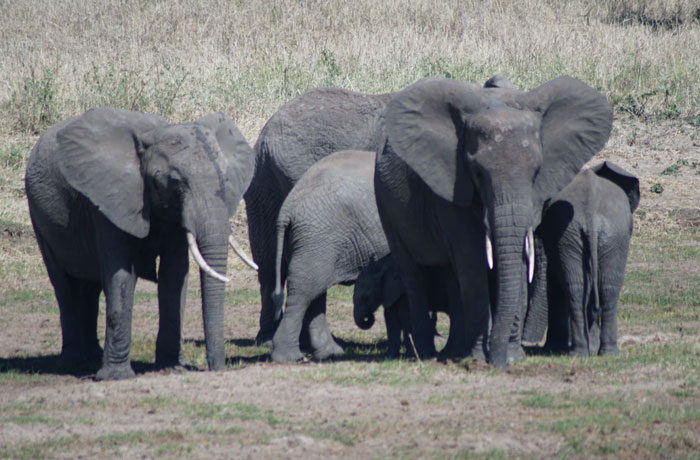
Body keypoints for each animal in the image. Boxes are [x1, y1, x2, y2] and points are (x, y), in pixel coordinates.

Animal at [28, 106, 258, 380]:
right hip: (39, 217)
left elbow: (174, 275)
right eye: (175, 181)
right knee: (64, 285)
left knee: (90, 287)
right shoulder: (109, 199)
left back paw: (91, 357)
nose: (217, 368)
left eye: (226, 180)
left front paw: (172, 368)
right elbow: (121, 275)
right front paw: (116, 377)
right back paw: (72, 363)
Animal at [270, 149, 392, 362]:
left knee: (315, 292)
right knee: (303, 292)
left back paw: (329, 353)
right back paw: (289, 357)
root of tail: (288, 205)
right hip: (318, 237)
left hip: (309, 241)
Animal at [372, 75, 612, 370]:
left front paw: (511, 356)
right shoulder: (453, 187)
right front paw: (478, 358)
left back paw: (453, 351)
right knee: (412, 272)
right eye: (477, 172)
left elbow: (518, 259)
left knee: (451, 274)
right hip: (385, 201)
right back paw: (430, 355)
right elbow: (472, 262)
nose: (498, 365)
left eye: (536, 172)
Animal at [520, 161, 640, 356]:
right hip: (577, 235)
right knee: (586, 287)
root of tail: (590, 211)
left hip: (606, 234)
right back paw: (586, 352)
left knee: (599, 286)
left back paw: (598, 352)